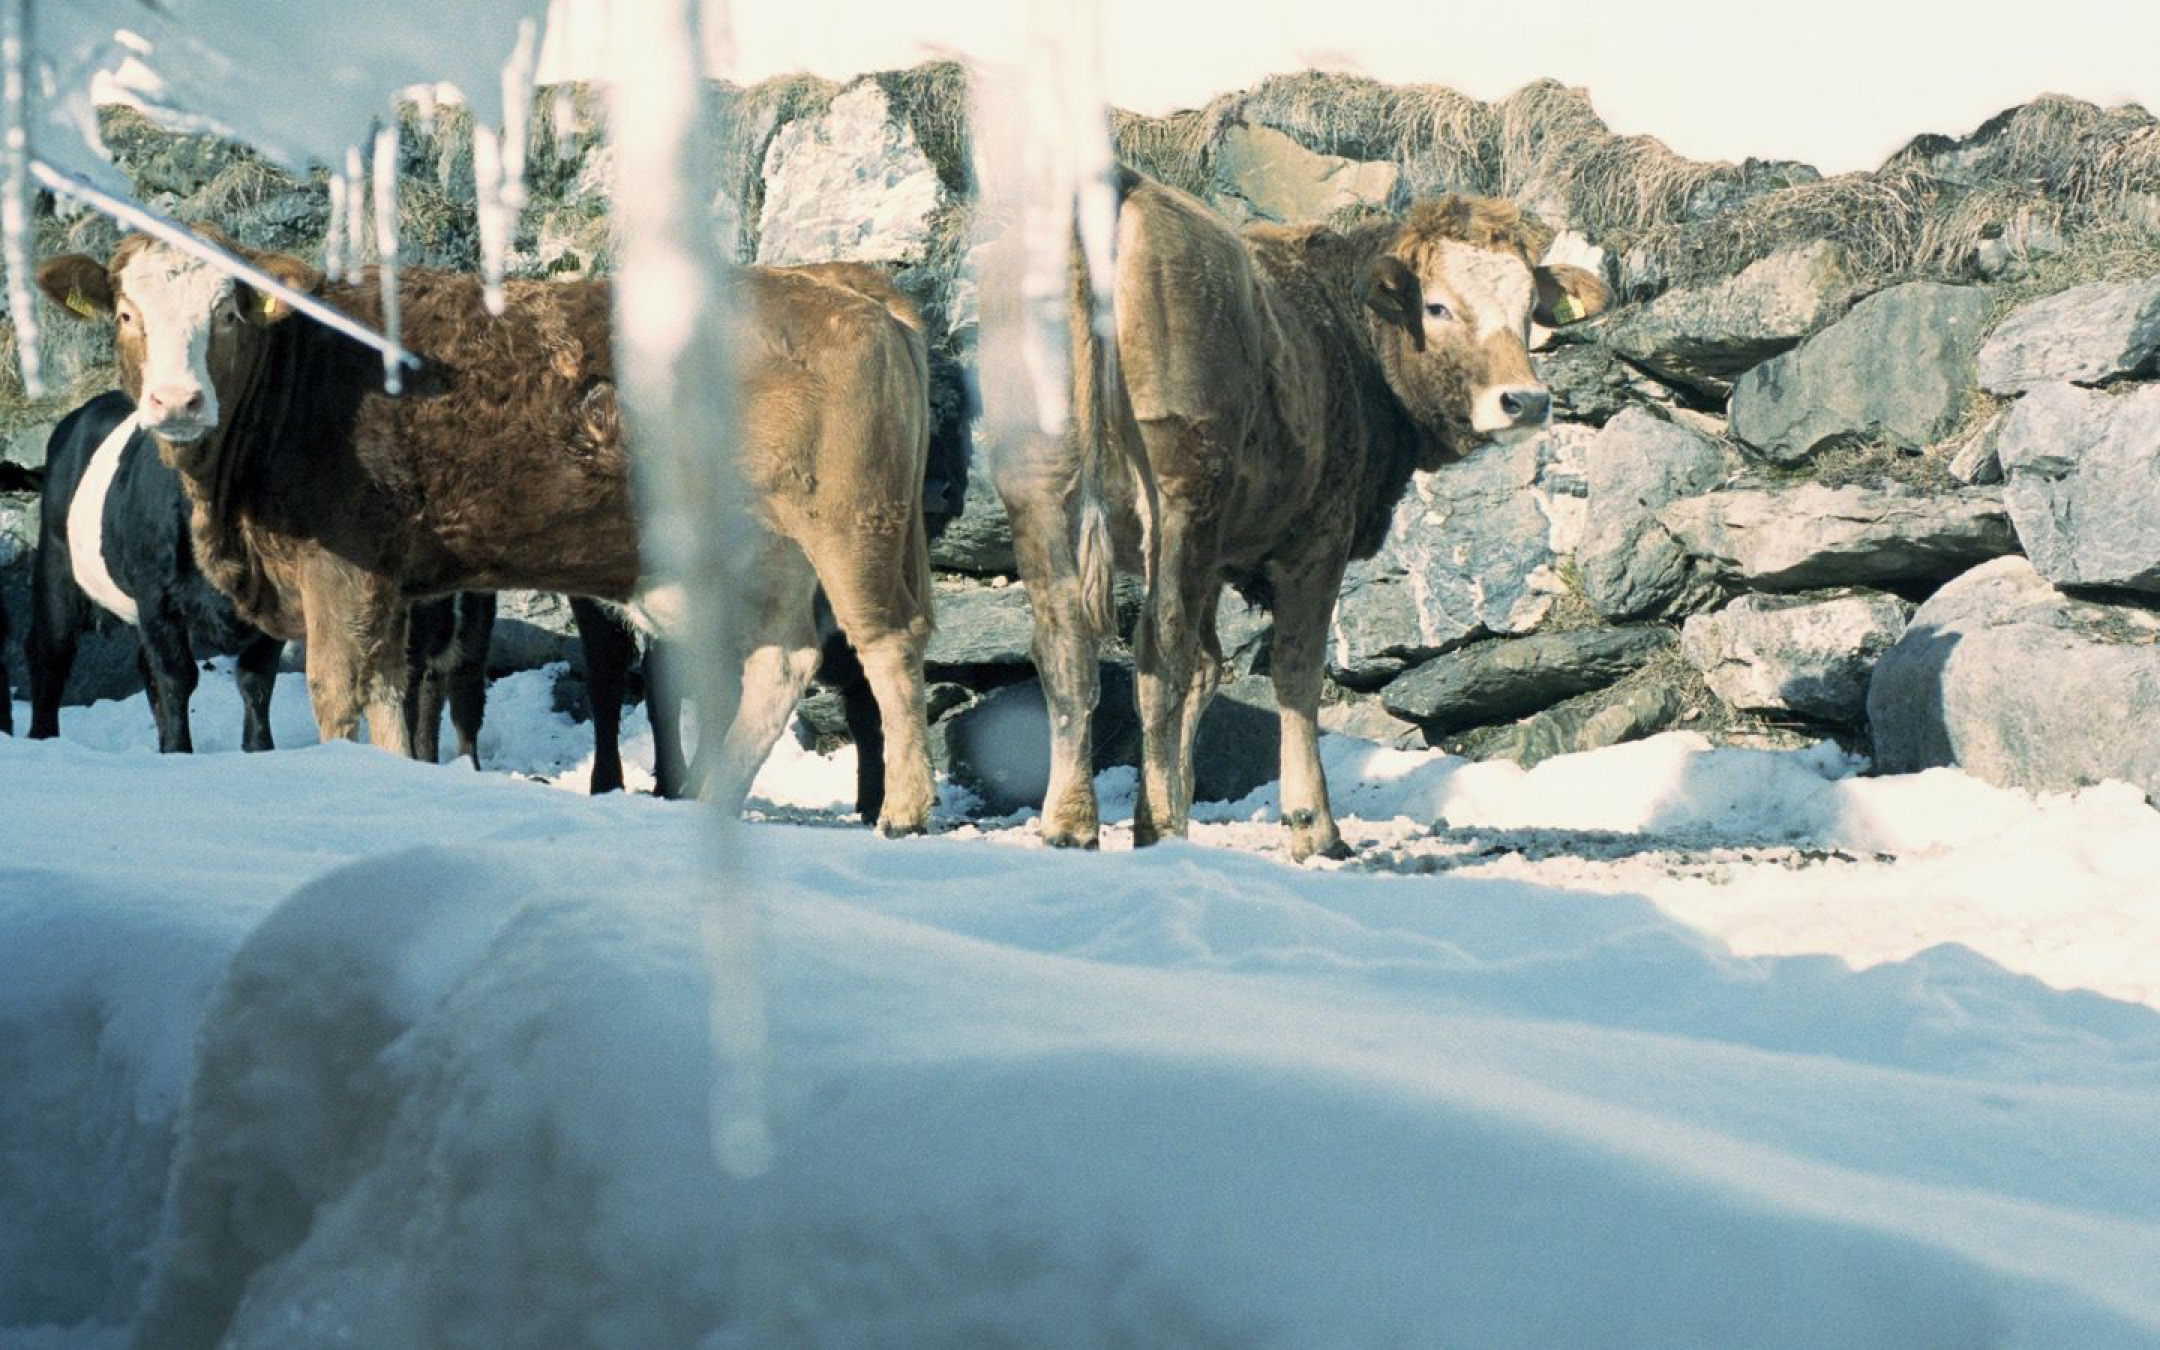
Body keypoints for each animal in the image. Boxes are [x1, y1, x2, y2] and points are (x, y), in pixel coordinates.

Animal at [39, 228, 937, 833]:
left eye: (228, 313)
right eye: (126, 313)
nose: (177, 400)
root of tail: (841, 284)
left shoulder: (341, 573)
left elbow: (337, 689)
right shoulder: (389, 583)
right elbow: (389, 692)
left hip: (850, 525)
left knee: (885, 645)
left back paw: (903, 808)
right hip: (767, 552)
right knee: (784, 661)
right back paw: (713, 802)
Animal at [989, 173, 1615, 859]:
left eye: (1530, 306)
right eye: (1437, 307)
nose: (1524, 401)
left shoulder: (1219, 557)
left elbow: (1210, 671)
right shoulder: (1319, 538)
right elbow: (1295, 671)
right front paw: (1314, 826)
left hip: (1039, 487)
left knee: (1066, 643)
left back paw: (1071, 822)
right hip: (1183, 491)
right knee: (1160, 649)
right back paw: (1160, 828)